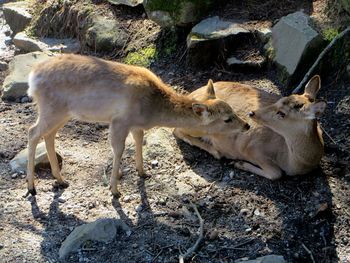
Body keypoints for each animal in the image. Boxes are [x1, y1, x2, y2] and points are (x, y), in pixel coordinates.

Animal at [26, 54, 249, 198]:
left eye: (232, 110)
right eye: (227, 119)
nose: (247, 125)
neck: (151, 109)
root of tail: (32, 77)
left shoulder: (136, 125)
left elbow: (139, 143)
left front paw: (142, 172)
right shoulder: (120, 121)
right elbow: (118, 150)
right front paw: (115, 190)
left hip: (62, 112)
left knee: (49, 135)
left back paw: (60, 179)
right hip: (52, 108)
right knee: (32, 132)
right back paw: (31, 187)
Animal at [174, 75, 326, 180]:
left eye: (282, 113)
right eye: (280, 100)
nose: (252, 113)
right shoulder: (252, 149)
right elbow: (276, 174)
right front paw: (238, 164)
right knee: (176, 130)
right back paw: (216, 151)